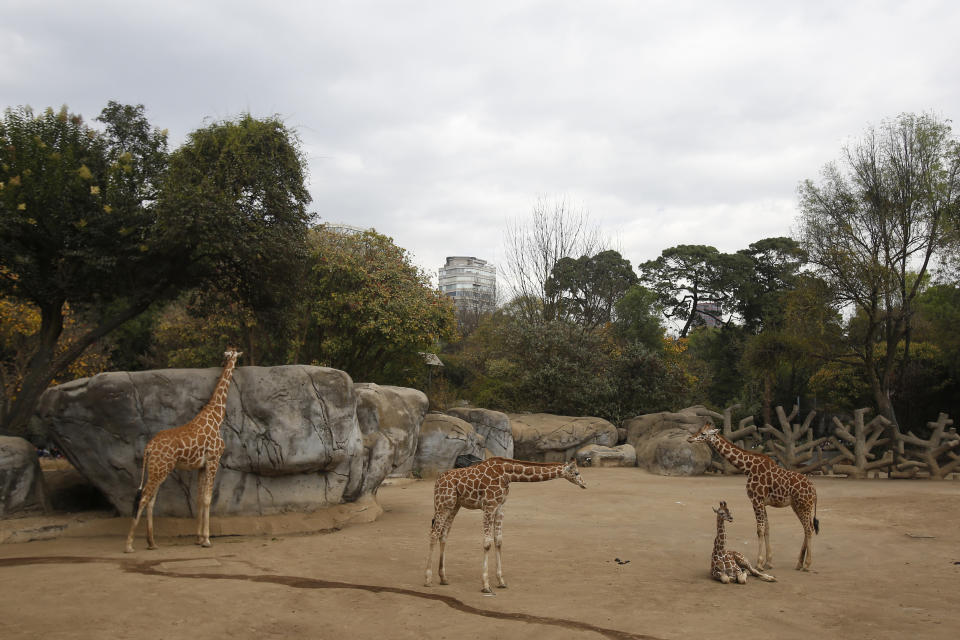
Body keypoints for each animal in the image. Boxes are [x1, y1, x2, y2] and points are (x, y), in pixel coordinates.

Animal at [122, 348, 242, 552]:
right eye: (235, 354)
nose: (228, 360)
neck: (216, 417)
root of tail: (148, 447)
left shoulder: (201, 466)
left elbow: (199, 498)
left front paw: (199, 538)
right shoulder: (214, 459)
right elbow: (208, 498)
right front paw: (207, 540)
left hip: (156, 469)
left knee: (150, 500)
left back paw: (152, 542)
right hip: (160, 469)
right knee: (144, 498)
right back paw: (129, 545)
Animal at [426, 458, 588, 592]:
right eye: (576, 472)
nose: (585, 484)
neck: (507, 475)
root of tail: (437, 481)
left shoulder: (500, 508)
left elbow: (498, 541)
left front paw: (501, 581)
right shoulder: (489, 506)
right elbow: (487, 544)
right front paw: (486, 585)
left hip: (454, 506)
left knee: (443, 534)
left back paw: (443, 578)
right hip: (442, 505)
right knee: (434, 533)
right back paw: (428, 579)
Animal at [688, 422, 816, 572]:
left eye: (703, 434)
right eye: (698, 430)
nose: (690, 438)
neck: (748, 468)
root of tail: (814, 490)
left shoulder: (756, 500)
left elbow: (760, 530)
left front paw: (759, 563)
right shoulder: (762, 502)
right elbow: (767, 529)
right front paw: (769, 562)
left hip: (804, 505)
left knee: (809, 529)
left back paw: (807, 565)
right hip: (798, 506)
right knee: (807, 528)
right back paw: (799, 563)